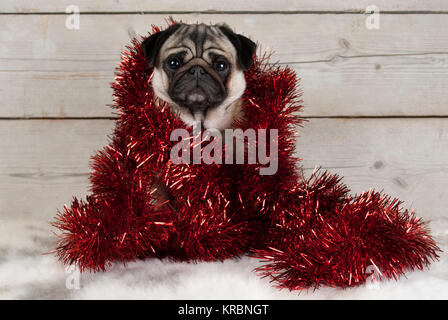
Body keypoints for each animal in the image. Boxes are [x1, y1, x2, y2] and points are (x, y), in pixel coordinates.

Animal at [51, 24, 438, 290]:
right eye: (174, 62)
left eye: (221, 65)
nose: (196, 71)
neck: (199, 124)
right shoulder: (156, 177)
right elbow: (160, 203)